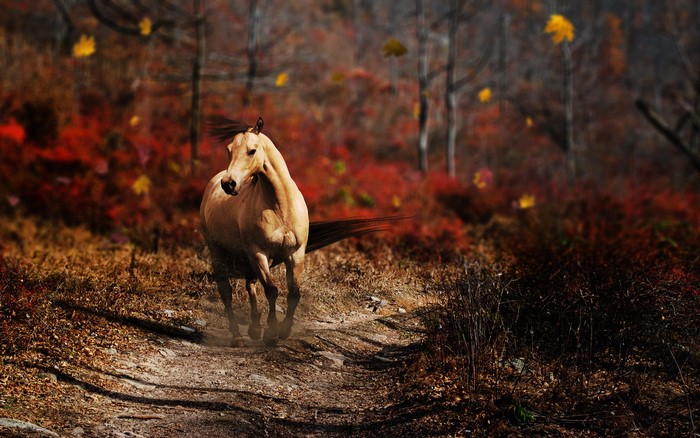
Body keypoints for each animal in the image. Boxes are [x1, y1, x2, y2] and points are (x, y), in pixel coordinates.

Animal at [201, 117, 397, 346]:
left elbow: (293, 293)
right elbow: (272, 290)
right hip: (221, 252)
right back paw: (238, 337)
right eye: (229, 149)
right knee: (227, 292)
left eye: (252, 151)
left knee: (250, 284)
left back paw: (254, 329)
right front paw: (271, 334)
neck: (280, 207)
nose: (229, 184)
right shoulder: (259, 252)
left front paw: (283, 331)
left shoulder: (295, 253)